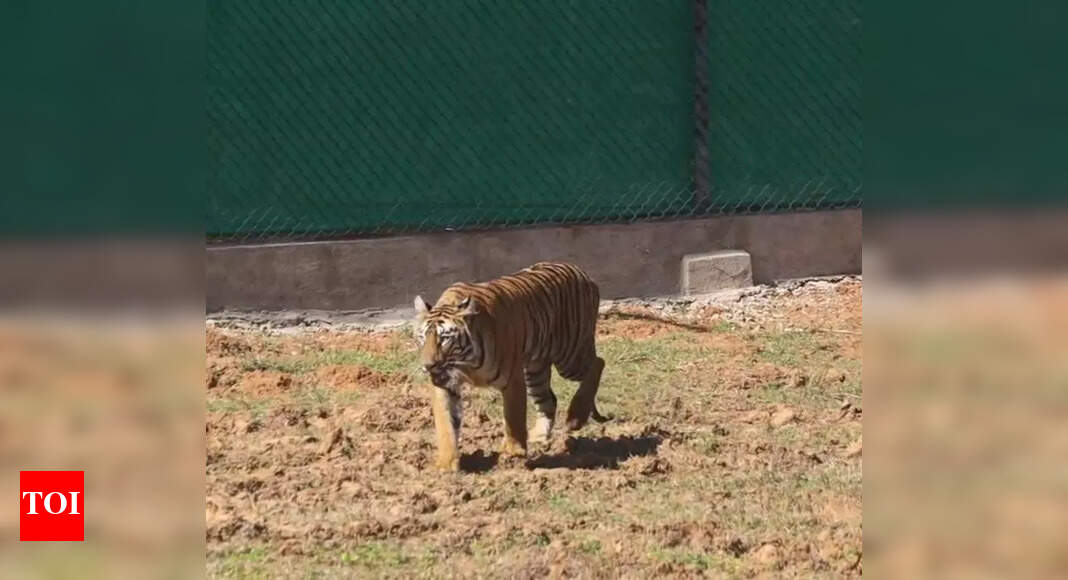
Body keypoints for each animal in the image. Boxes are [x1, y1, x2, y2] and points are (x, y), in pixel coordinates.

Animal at [413, 262, 610, 472]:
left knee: (598, 362)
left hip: (569, 354)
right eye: (422, 338)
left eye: (444, 339)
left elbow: (513, 417)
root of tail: (582, 273)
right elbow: (445, 423)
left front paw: (513, 452)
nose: (428, 366)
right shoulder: (444, 384)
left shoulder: (512, 379)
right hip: (536, 368)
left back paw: (576, 417)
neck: (465, 362)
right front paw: (446, 463)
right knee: (548, 399)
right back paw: (538, 435)